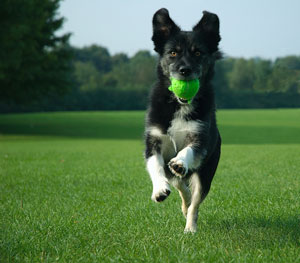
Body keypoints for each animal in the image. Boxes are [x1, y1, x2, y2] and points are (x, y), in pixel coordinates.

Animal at [144, 7, 221, 233]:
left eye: (198, 53)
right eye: (173, 52)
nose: (184, 70)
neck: (180, 105)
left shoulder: (200, 139)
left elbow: (188, 151)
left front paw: (180, 162)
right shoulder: (153, 140)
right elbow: (155, 165)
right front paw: (159, 189)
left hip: (206, 173)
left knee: (194, 202)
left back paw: (190, 227)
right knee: (181, 186)